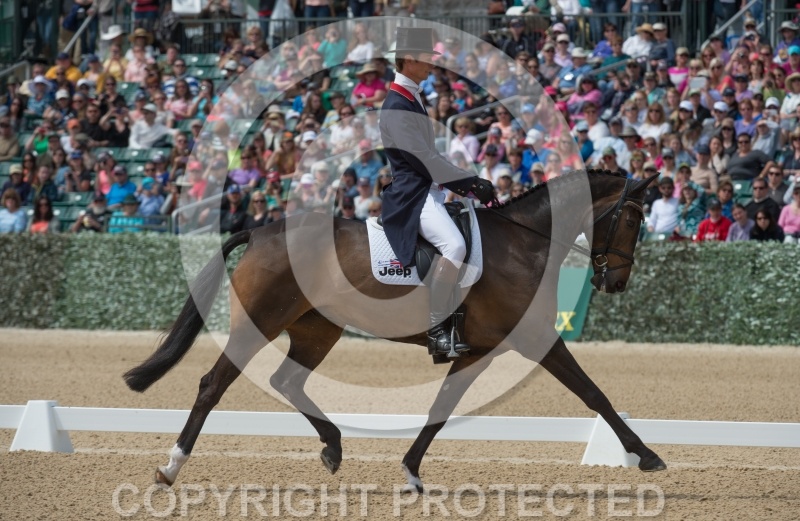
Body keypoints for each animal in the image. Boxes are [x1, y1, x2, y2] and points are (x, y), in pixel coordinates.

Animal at [124, 168, 666, 491]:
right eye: (632, 219)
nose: (616, 282)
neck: (524, 243)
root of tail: (260, 230)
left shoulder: (476, 351)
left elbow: (440, 409)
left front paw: (411, 470)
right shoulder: (537, 340)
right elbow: (594, 394)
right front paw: (646, 455)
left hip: (317, 329)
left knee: (287, 381)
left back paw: (333, 447)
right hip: (259, 323)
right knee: (213, 384)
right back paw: (170, 467)